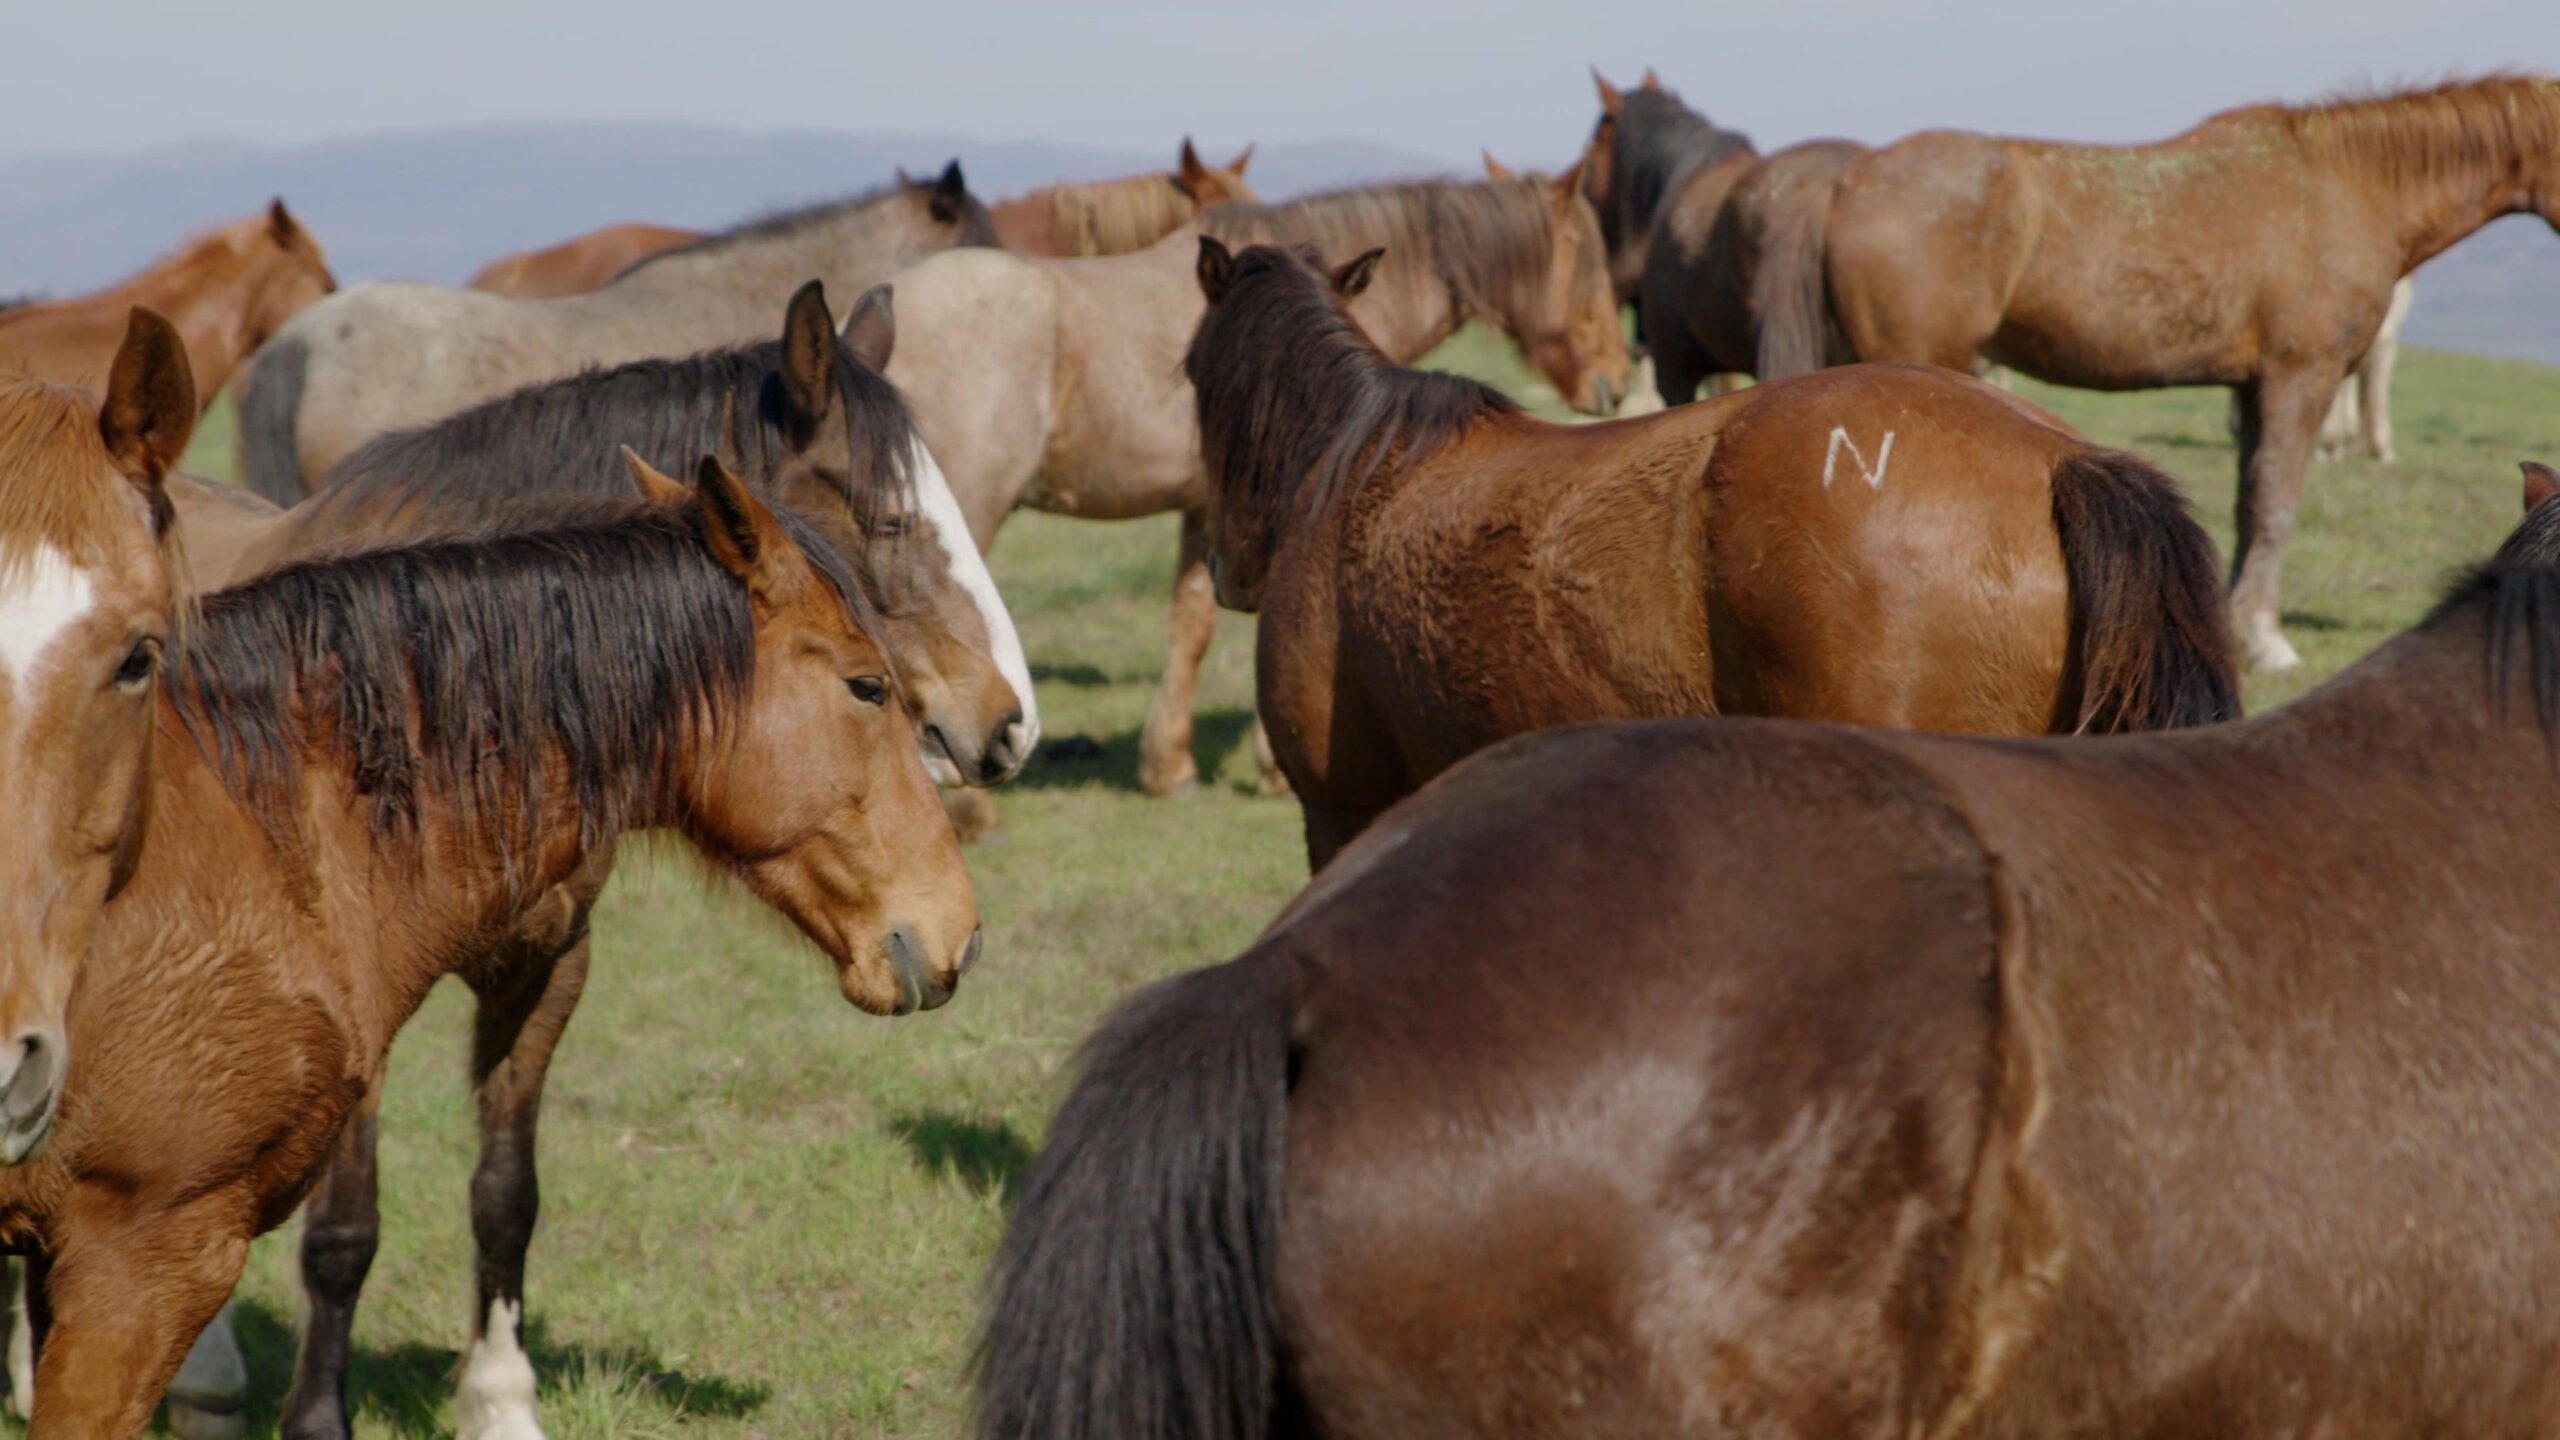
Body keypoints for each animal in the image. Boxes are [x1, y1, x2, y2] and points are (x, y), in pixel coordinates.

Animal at [101, 284, 1033, 1440]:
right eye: (889, 522)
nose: (1010, 722)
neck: (437, 699)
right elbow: (343, 1235)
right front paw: (319, 1414)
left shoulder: (547, 966)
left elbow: (506, 1197)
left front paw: (501, 1402)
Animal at [885, 168, 1631, 796]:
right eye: (1585, 260)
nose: (1618, 383)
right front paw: (1269, 765)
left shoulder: (1210, 515)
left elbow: (1190, 625)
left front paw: (1170, 764)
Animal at [1753, 75, 2560, 672]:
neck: (2344, 187)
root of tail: (1843, 181)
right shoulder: (2301, 375)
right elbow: (2276, 504)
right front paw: (2265, 639)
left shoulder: (2253, 388)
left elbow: (2249, 503)